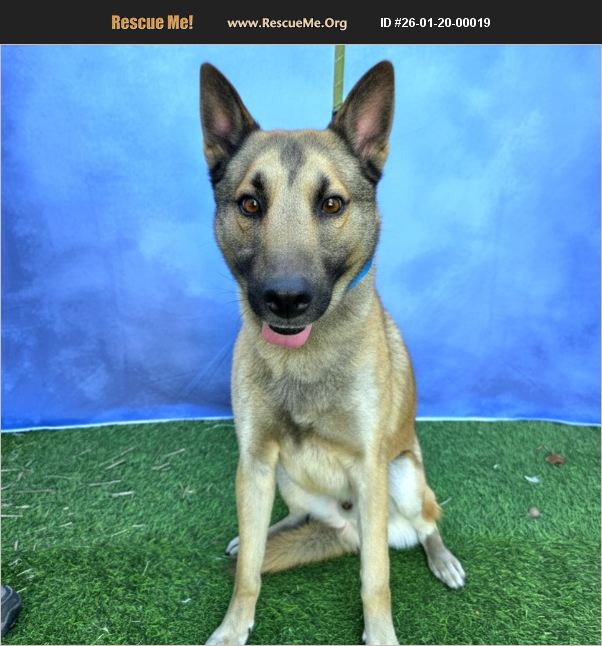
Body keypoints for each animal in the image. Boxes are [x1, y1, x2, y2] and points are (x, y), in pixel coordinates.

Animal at [200, 60, 465, 646]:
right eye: (250, 203)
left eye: (331, 204)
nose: (285, 299)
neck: (304, 363)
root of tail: (349, 528)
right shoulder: (255, 459)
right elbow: (249, 572)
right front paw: (233, 625)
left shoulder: (370, 467)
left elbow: (376, 579)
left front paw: (381, 633)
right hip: (282, 476)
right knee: (291, 525)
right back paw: (261, 533)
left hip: (401, 476)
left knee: (427, 523)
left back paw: (441, 558)